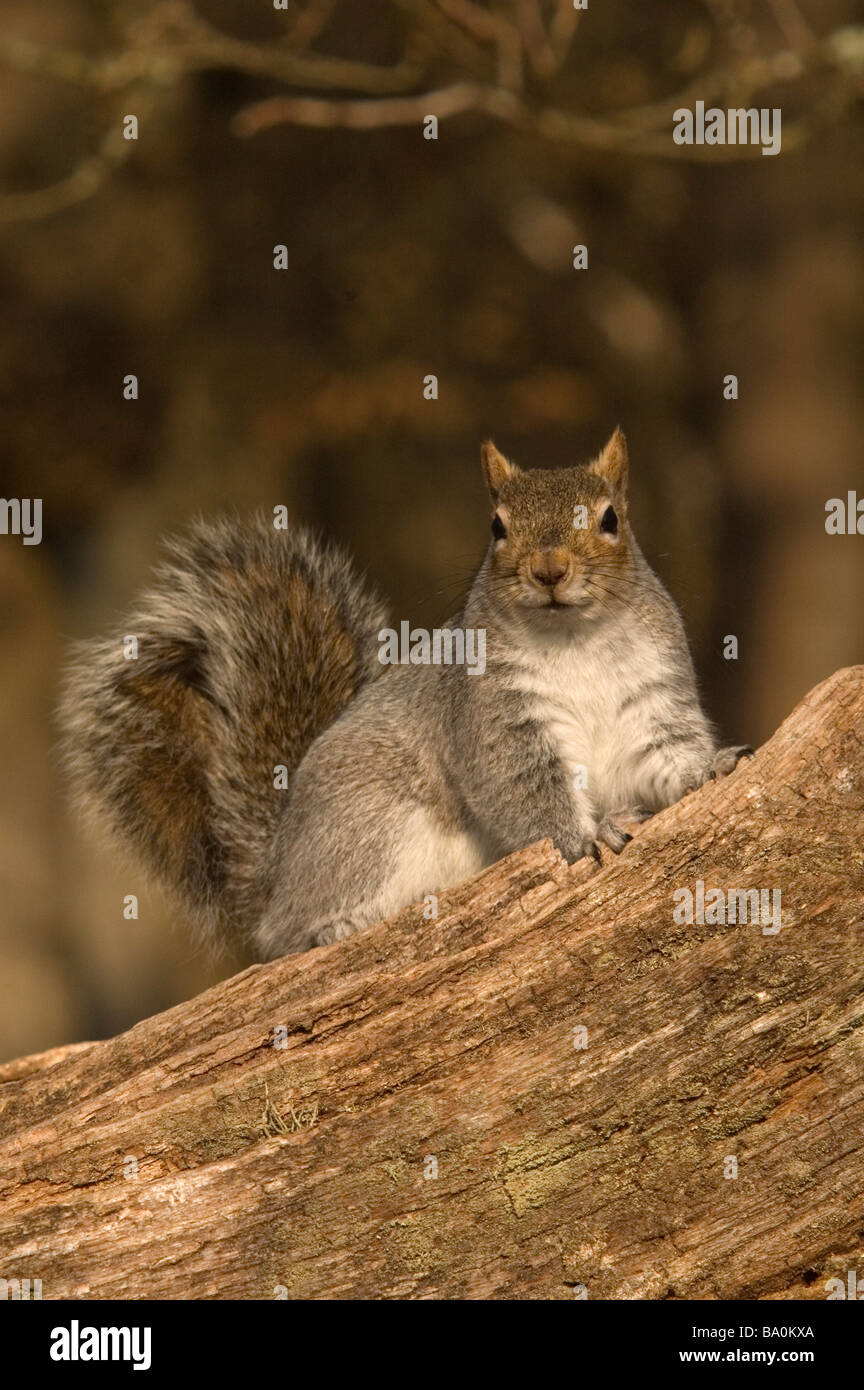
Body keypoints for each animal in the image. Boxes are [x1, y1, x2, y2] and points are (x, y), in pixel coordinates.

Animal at [60, 429, 750, 959]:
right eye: (496, 527)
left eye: (611, 519)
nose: (549, 570)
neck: (574, 640)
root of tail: (276, 871)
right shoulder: (492, 718)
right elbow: (522, 789)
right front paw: (589, 831)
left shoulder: (652, 700)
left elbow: (666, 757)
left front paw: (708, 769)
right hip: (366, 830)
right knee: (285, 934)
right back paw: (333, 925)